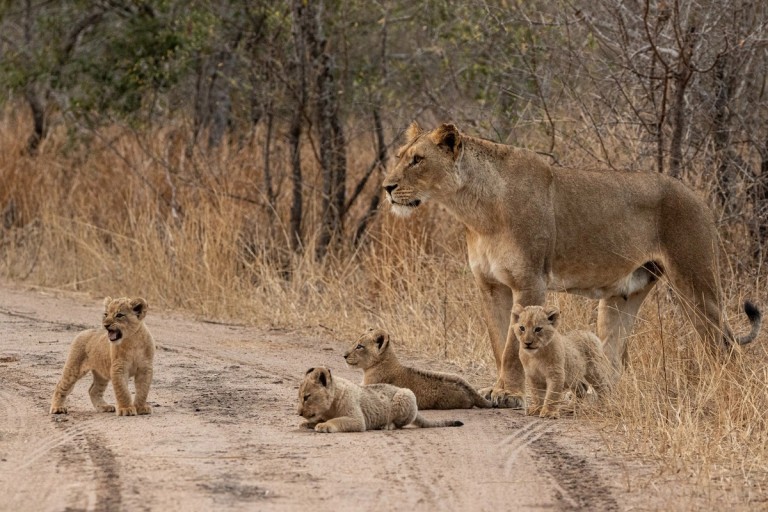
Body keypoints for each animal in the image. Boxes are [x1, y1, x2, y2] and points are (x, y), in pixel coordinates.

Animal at [297, 367, 464, 432]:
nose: (299, 413)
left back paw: (386, 426)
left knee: (399, 424)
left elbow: (338, 420)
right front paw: (306, 423)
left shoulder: (358, 420)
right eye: (299, 397)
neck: (330, 407)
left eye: (307, 397)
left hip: (406, 394)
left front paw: (324, 426)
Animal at [383, 122, 762, 408]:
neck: (475, 210)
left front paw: (510, 394)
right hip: (623, 296)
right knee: (612, 357)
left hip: (695, 282)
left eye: (417, 160)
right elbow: (498, 341)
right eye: (399, 157)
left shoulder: (530, 281)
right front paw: (500, 389)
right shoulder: (490, 285)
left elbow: (511, 347)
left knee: (725, 349)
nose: (387, 187)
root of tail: (697, 196)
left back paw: (727, 397)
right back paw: (597, 398)